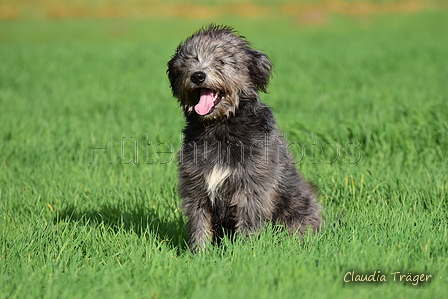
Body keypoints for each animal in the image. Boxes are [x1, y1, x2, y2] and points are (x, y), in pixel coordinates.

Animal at [167, 25, 322, 251]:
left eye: (221, 61)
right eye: (191, 60)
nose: (198, 76)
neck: (220, 128)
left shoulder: (253, 186)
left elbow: (248, 222)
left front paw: (244, 251)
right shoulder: (196, 185)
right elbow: (199, 223)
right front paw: (198, 253)